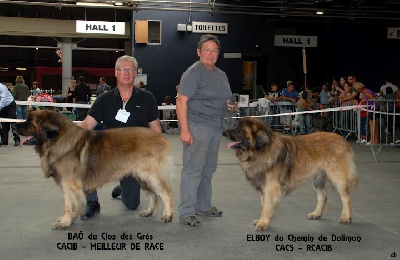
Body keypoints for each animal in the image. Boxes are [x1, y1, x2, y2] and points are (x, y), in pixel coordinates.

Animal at [13, 109, 173, 230]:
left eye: (29, 122)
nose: (14, 126)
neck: (56, 140)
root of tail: (159, 137)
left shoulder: (69, 183)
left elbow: (69, 205)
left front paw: (65, 222)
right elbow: (69, 203)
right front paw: (67, 219)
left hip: (150, 176)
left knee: (165, 193)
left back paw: (167, 215)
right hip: (141, 176)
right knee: (152, 195)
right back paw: (148, 212)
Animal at [223, 117, 358, 231]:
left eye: (242, 129)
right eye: (235, 125)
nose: (224, 132)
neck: (259, 151)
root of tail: (342, 139)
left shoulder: (271, 186)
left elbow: (267, 205)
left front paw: (263, 222)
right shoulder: (262, 186)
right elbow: (263, 204)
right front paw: (263, 220)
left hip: (337, 177)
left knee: (346, 197)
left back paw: (346, 217)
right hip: (318, 178)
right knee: (322, 195)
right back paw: (316, 214)